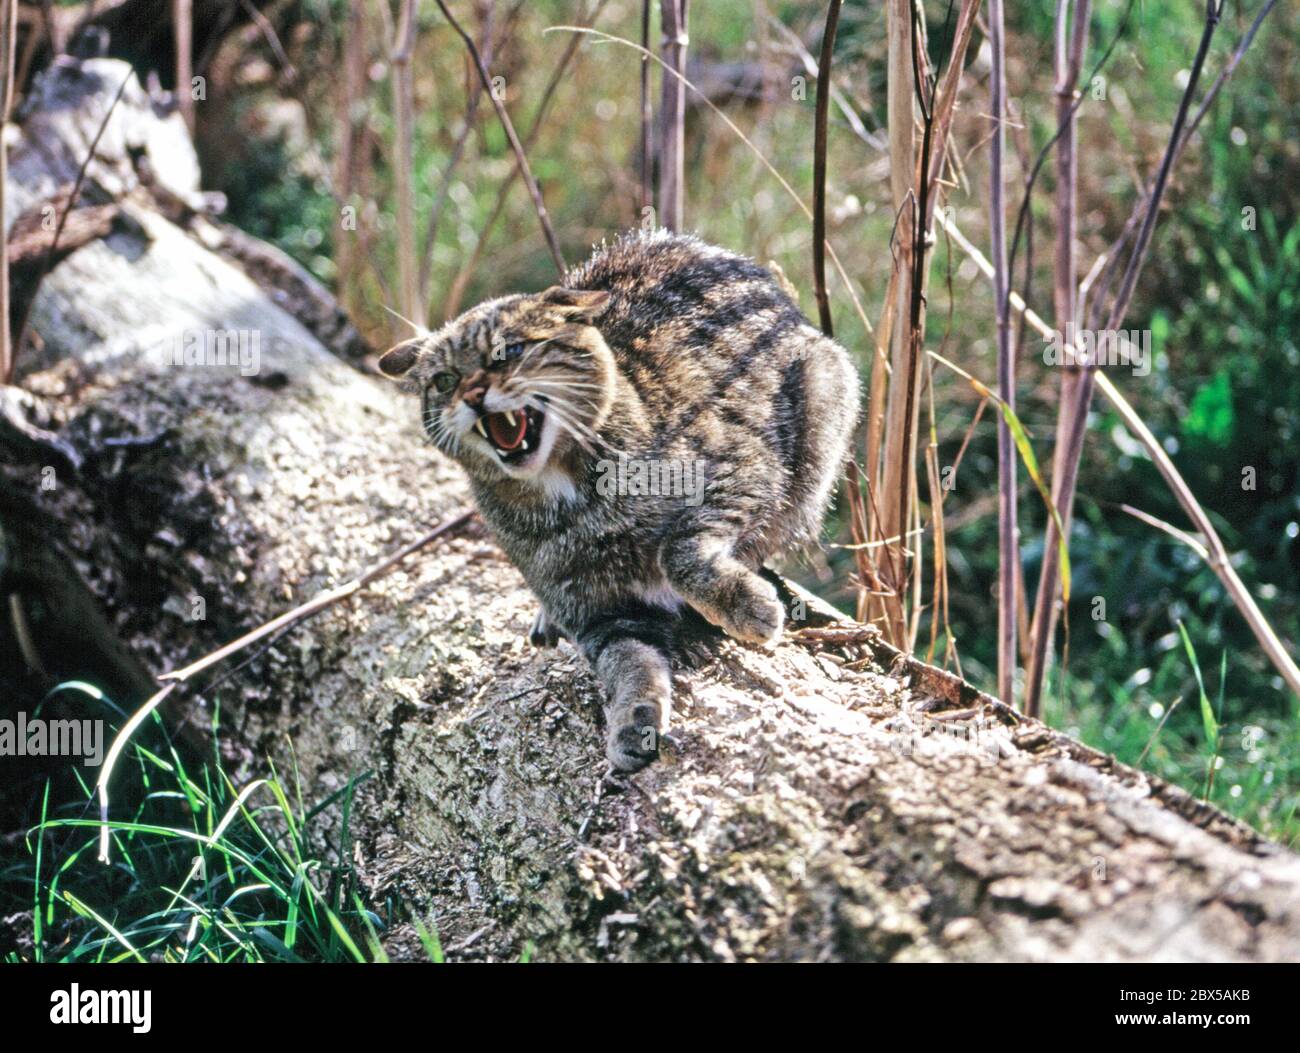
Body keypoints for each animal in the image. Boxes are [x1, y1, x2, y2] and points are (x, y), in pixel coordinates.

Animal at [379, 231, 857, 769]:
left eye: (510, 351)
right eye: (443, 381)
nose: (473, 394)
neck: (568, 501)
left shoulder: (746, 467)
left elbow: (678, 551)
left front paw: (746, 606)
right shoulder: (601, 616)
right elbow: (630, 665)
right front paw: (636, 720)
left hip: (824, 402)